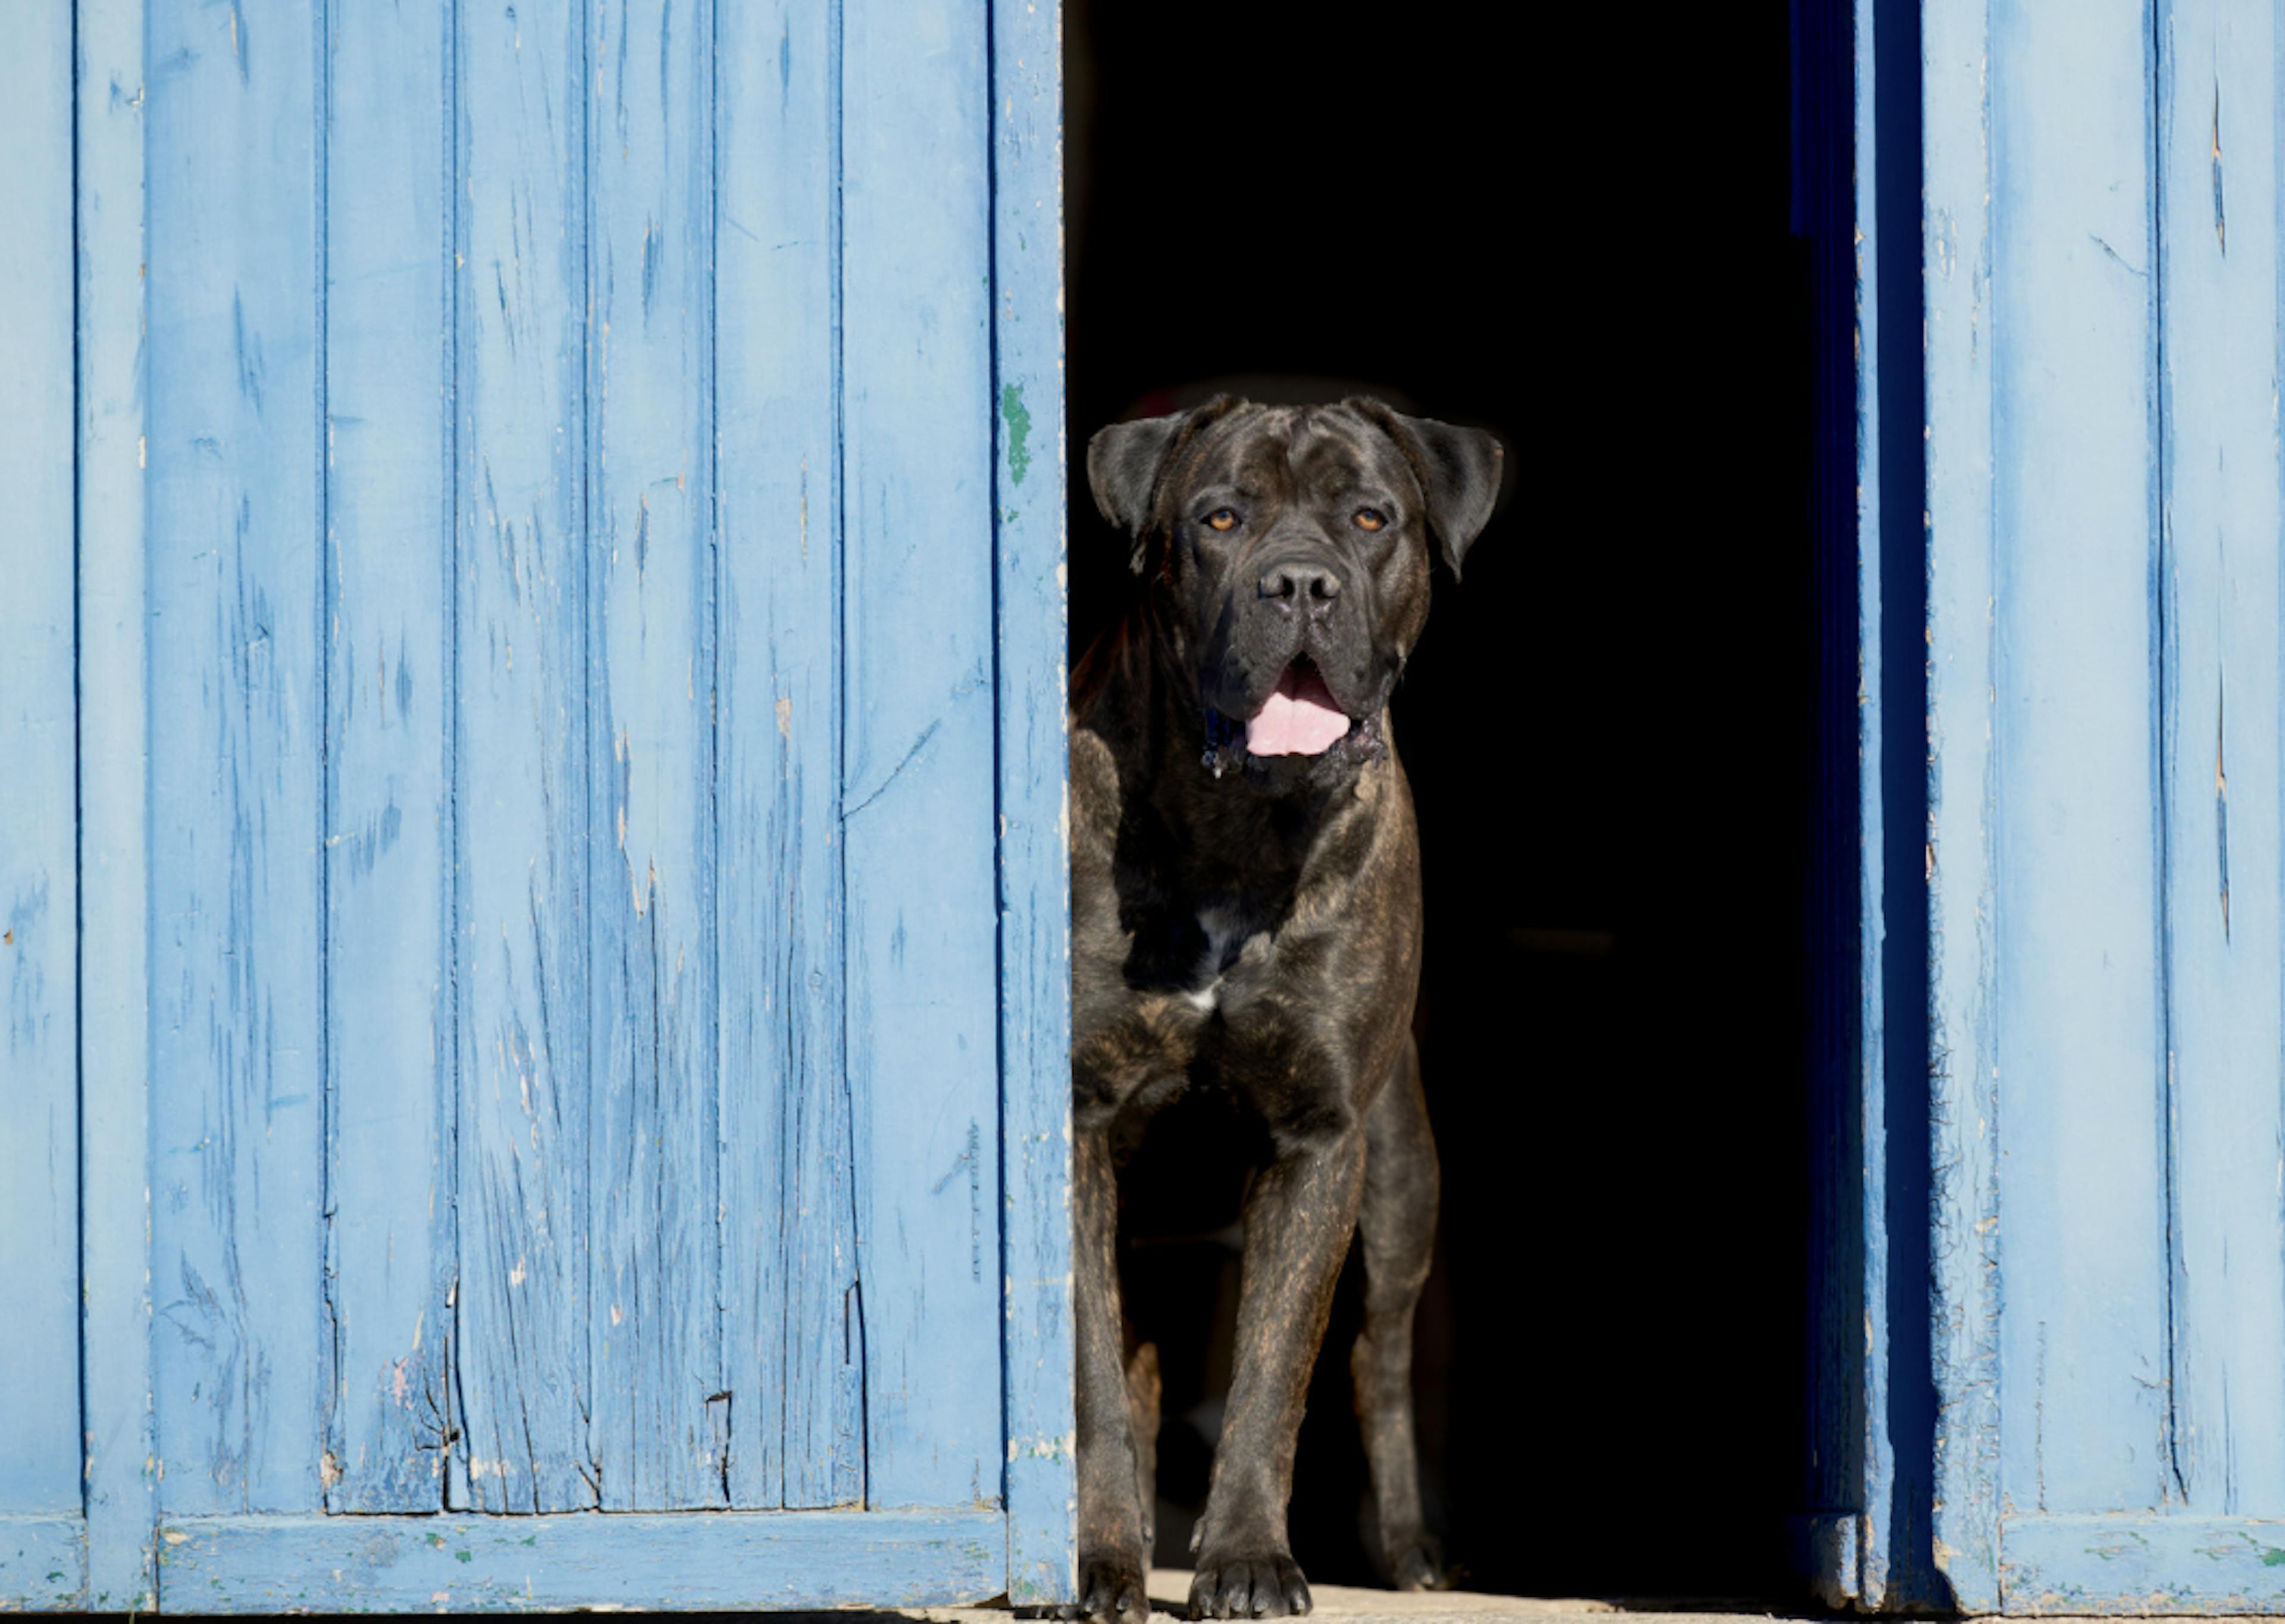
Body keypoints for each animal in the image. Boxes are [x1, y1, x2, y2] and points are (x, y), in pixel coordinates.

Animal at [1065, 397, 1499, 1624]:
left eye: (1370, 517)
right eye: (1220, 517)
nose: (1300, 582)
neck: (1238, 833)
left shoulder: (1318, 1140)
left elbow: (1272, 1374)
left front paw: (1248, 1557)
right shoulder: (1079, 1125)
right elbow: (1096, 1376)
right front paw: (1104, 1558)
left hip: (1399, 1183)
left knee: (1378, 1362)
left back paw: (1410, 1550)